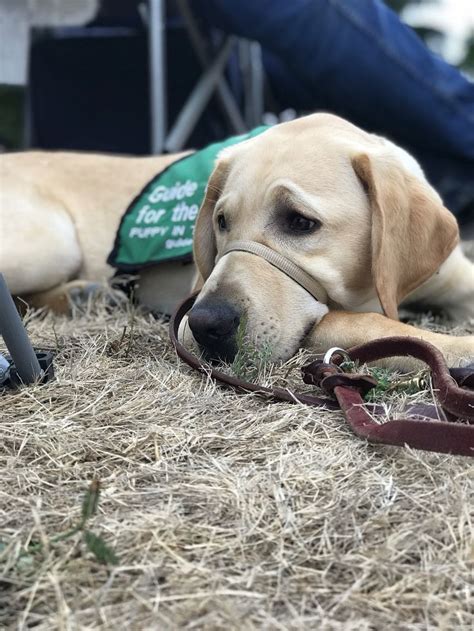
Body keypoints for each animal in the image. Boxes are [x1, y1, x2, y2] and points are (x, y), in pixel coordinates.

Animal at [0, 115, 474, 370]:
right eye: (222, 222)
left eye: (300, 222)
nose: (204, 324)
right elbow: (376, 325)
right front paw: (459, 349)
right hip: (51, 242)